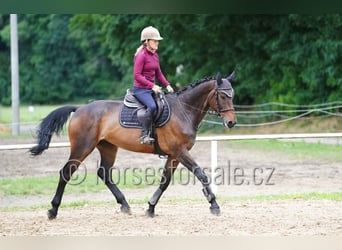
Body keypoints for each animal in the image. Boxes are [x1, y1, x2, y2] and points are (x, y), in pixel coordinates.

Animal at [30, 72, 236, 219]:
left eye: (232, 95)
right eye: (222, 96)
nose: (231, 123)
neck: (183, 110)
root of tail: (80, 108)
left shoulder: (174, 155)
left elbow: (165, 181)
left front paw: (151, 207)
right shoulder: (180, 151)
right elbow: (201, 174)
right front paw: (214, 204)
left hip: (108, 147)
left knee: (104, 173)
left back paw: (124, 204)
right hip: (82, 147)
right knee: (66, 172)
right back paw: (53, 210)